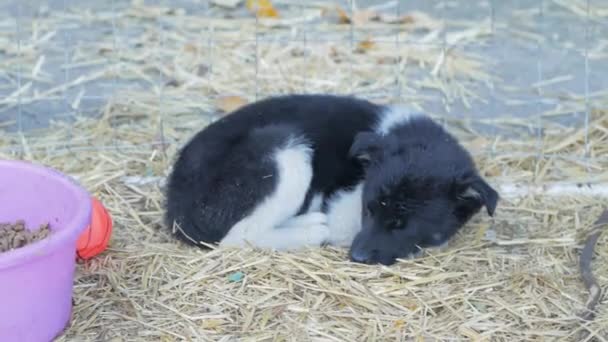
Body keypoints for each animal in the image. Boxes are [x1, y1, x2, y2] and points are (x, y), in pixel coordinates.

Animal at [164, 95, 496, 266]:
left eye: (403, 224)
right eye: (368, 209)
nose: (357, 257)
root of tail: (175, 206)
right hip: (282, 149)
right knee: (236, 237)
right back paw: (312, 228)